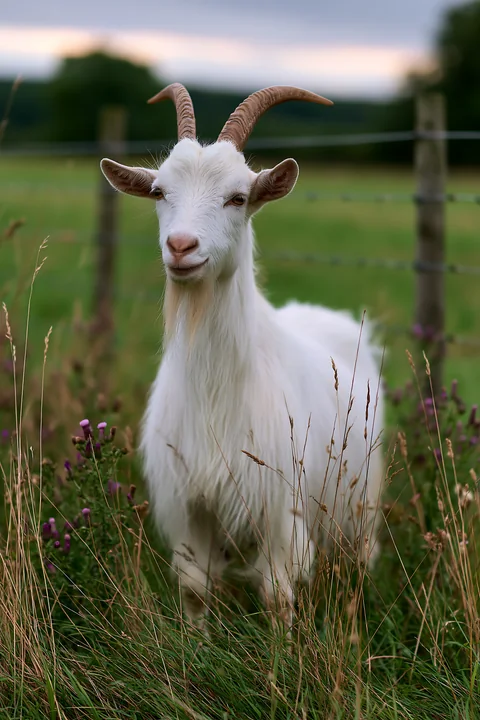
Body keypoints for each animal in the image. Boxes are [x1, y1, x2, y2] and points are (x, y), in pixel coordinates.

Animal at [101, 84, 385, 631]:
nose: (181, 246)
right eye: (160, 192)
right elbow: (194, 587)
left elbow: (276, 595)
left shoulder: (280, 507)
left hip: (360, 495)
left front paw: (281, 655)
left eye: (237, 197)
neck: (217, 386)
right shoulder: (190, 503)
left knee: (363, 555)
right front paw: (193, 647)